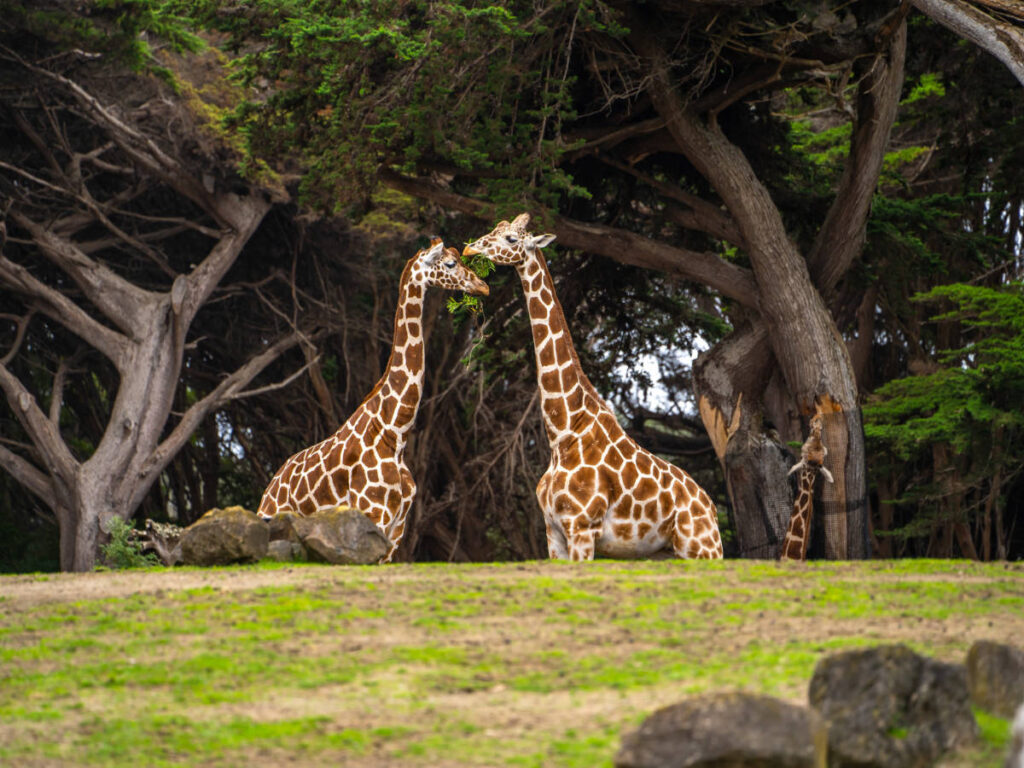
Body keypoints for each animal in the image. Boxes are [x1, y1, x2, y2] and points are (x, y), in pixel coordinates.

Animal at [257, 238, 489, 562]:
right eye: (450, 263)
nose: (483, 286)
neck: (394, 432)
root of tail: (270, 488)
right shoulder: (372, 513)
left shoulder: (396, 530)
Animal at [463, 213, 723, 561]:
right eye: (496, 227)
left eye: (511, 239)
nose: (469, 248)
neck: (562, 433)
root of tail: (711, 508)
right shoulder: (553, 533)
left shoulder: (582, 528)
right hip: (666, 552)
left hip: (702, 548)